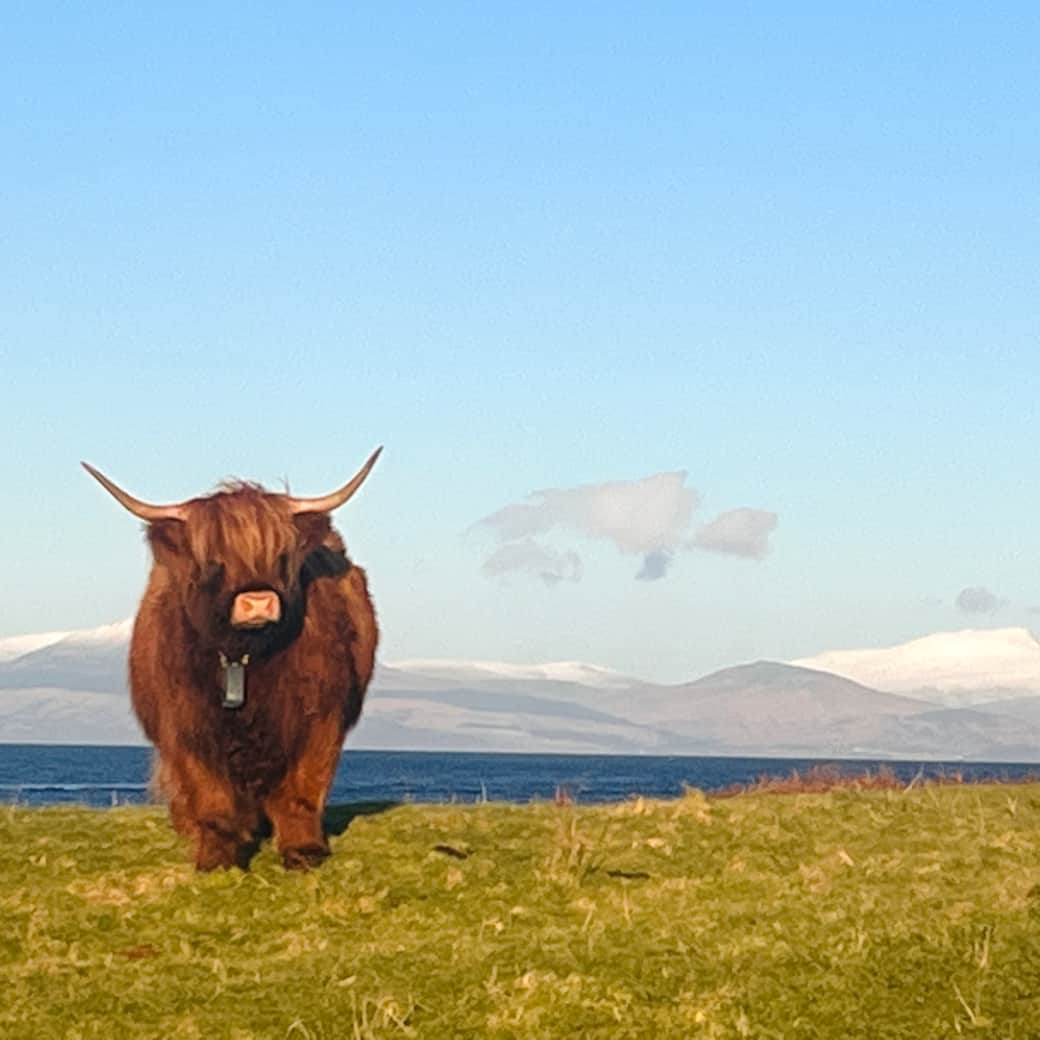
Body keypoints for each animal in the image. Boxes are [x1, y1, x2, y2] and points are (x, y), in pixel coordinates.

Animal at [82, 449, 381, 871]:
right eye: (213, 562)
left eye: (282, 555)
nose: (257, 601)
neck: (245, 658)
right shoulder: (186, 724)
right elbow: (210, 795)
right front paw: (216, 857)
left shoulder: (321, 714)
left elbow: (304, 786)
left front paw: (304, 850)